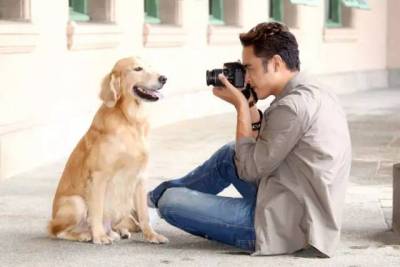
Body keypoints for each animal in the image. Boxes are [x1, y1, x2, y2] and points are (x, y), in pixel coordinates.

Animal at [48, 57, 169, 246]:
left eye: (150, 66)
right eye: (138, 69)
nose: (164, 78)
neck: (130, 121)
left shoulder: (141, 177)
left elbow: (144, 215)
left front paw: (152, 235)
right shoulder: (99, 176)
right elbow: (97, 211)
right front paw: (98, 236)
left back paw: (116, 232)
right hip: (76, 203)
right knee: (57, 231)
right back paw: (86, 234)